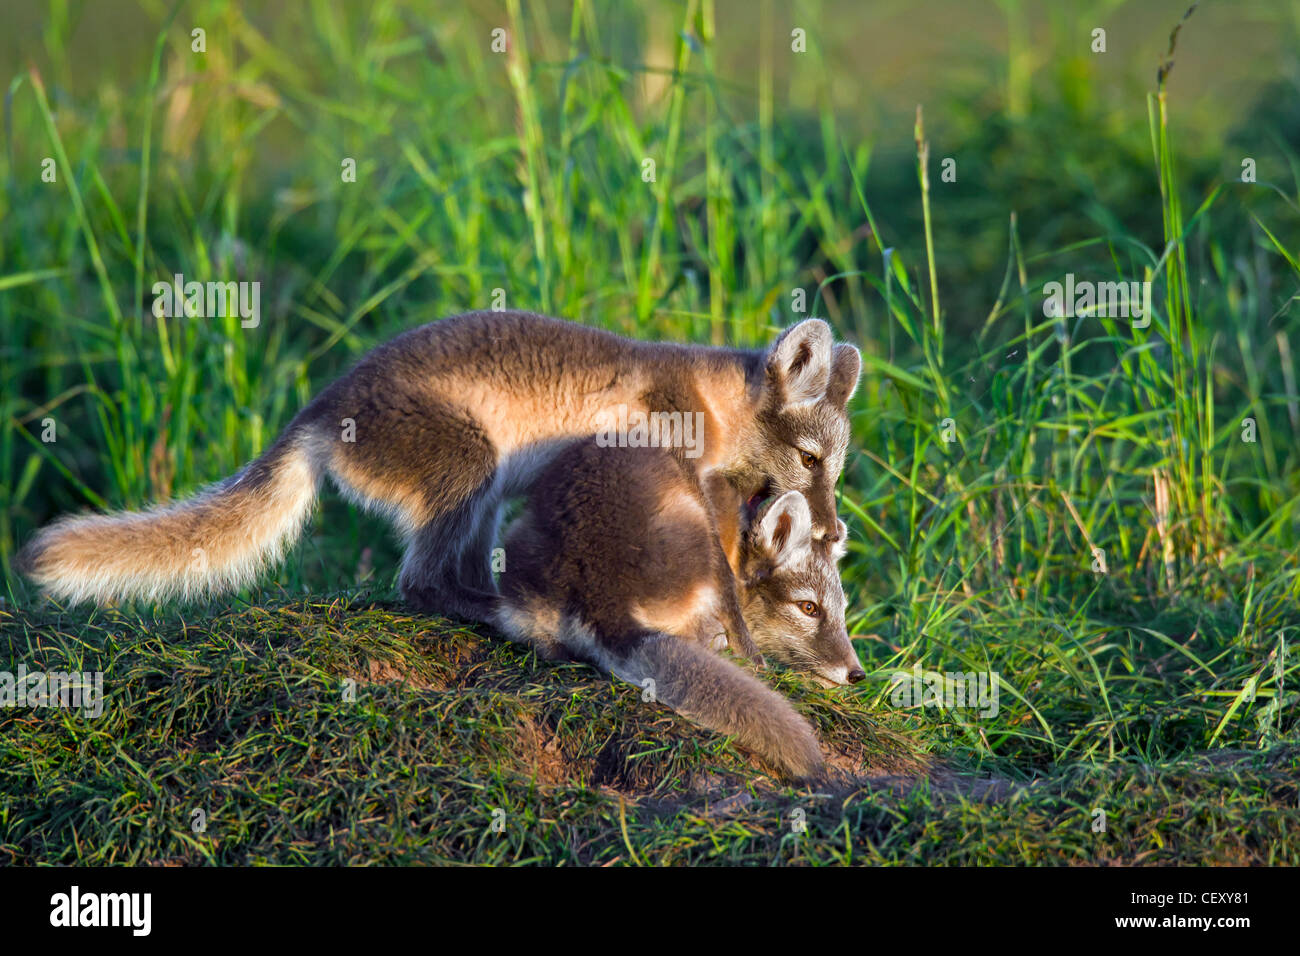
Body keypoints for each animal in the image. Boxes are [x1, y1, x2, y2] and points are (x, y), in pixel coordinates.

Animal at [15, 308, 863, 634]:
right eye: (811, 459)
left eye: (838, 466)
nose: (833, 530)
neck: (710, 400)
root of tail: (319, 405)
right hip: (467, 465)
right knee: (417, 583)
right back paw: (492, 612)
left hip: (482, 496)